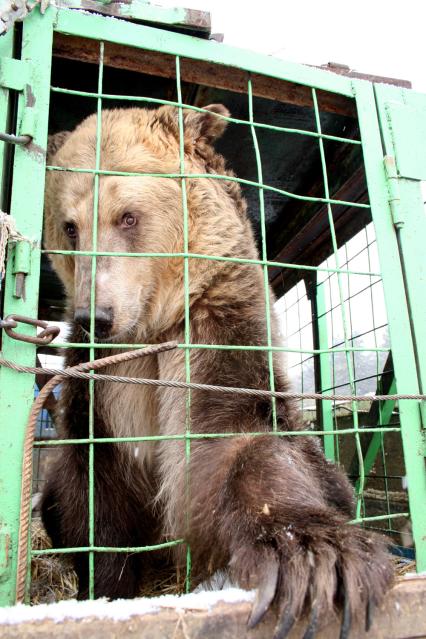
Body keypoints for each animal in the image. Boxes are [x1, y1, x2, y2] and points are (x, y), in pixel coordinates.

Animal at [43, 106, 392, 639]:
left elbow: (240, 436)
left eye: (127, 216)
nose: (93, 316)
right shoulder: (99, 385)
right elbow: (93, 490)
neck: (149, 329)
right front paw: (105, 589)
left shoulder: (213, 330)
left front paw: (315, 558)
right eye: (70, 228)